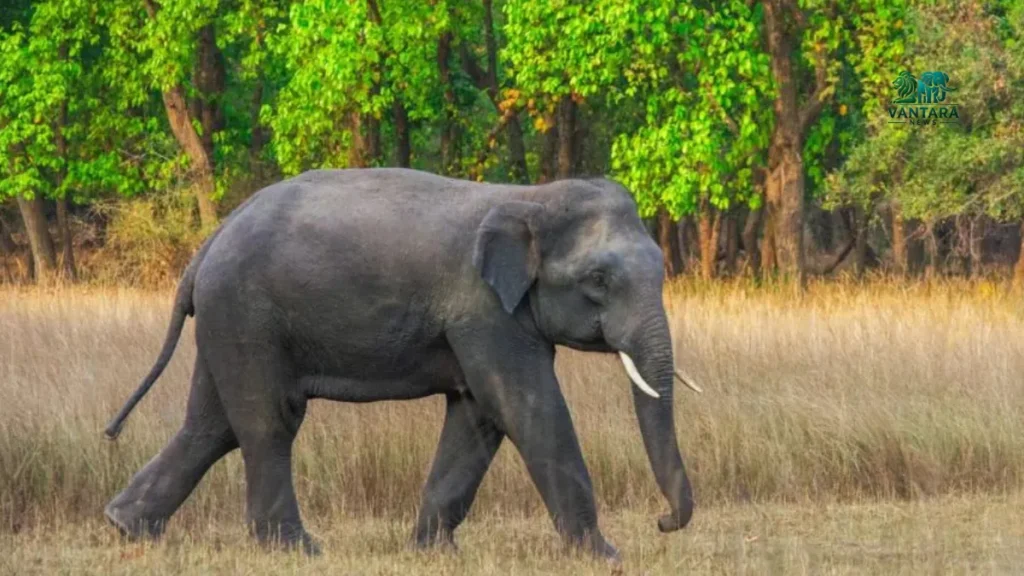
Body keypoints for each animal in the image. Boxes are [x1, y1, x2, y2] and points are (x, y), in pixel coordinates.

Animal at [102, 167, 701, 561]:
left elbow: (478, 414)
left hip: (229, 321)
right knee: (269, 421)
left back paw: (127, 528)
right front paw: (605, 557)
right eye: (598, 280)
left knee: (211, 425)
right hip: (248, 315)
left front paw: (433, 553)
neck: (528, 198)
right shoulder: (483, 309)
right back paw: (298, 550)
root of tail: (209, 243)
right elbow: (527, 408)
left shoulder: (484, 320)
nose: (662, 521)